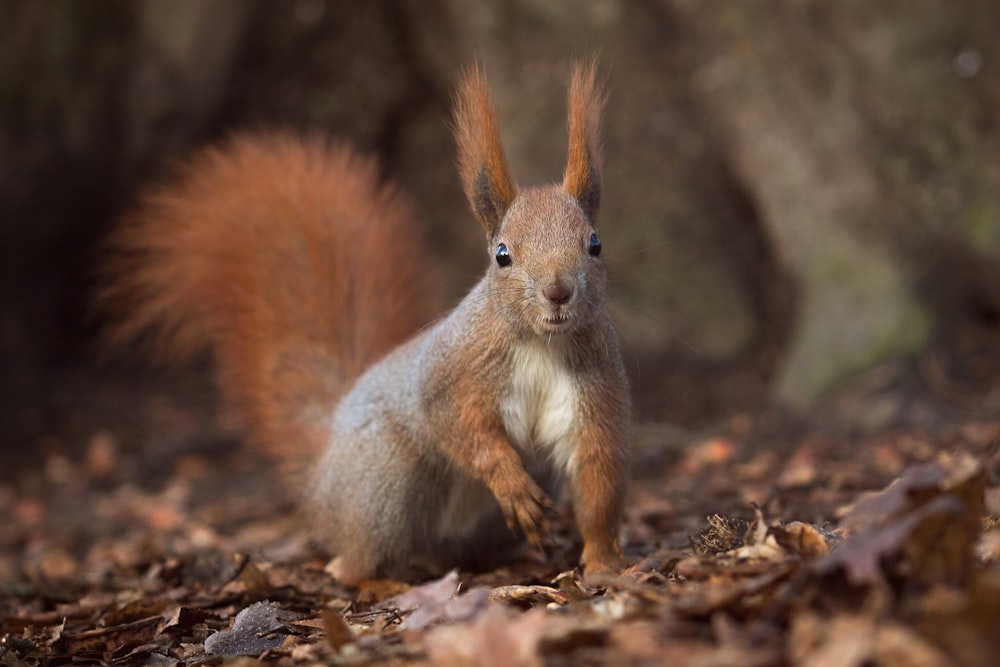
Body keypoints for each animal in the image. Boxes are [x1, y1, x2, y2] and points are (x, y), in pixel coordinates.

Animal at [103, 62, 632, 584]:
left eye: (595, 244)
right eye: (502, 255)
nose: (558, 292)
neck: (542, 342)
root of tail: (323, 471)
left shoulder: (595, 391)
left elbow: (597, 477)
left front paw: (605, 563)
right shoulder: (451, 373)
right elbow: (460, 426)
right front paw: (511, 484)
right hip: (387, 480)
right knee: (351, 564)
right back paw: (383, 580)